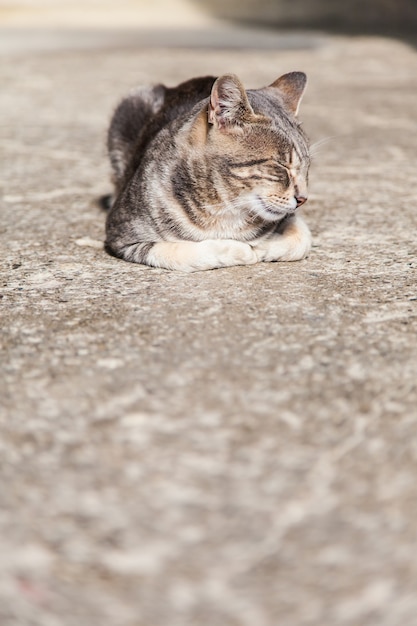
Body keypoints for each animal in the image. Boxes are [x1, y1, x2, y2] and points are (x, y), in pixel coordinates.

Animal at [105, 71, 310, 270]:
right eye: (281, 165)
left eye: (307, 167)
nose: (303, 199)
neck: (225, 206)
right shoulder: (121, 234)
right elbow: (177, 252)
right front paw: (239, 250)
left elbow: (301, 239)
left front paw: (265, 245)